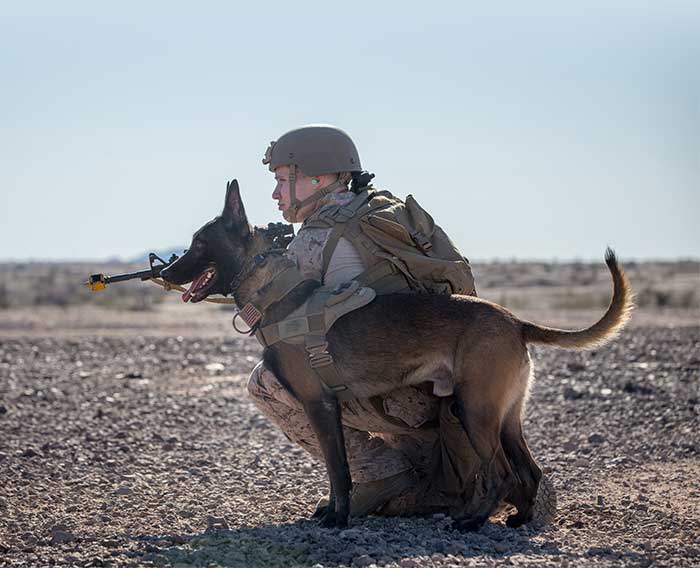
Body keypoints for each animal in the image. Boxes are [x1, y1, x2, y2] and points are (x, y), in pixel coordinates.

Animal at [161, 180, 632, 532]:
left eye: (199, 244)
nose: (164, 270)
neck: (278, 295)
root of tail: (516, 321)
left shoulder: (318, 404)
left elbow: (339, 470)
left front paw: (338, 519)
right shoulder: (328, 408)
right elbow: (337, 469)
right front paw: (336, 512)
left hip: (474, 410)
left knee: (500, 472)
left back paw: (473, 521)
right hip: (506, 417)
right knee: (529, 471)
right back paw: (520, 519)